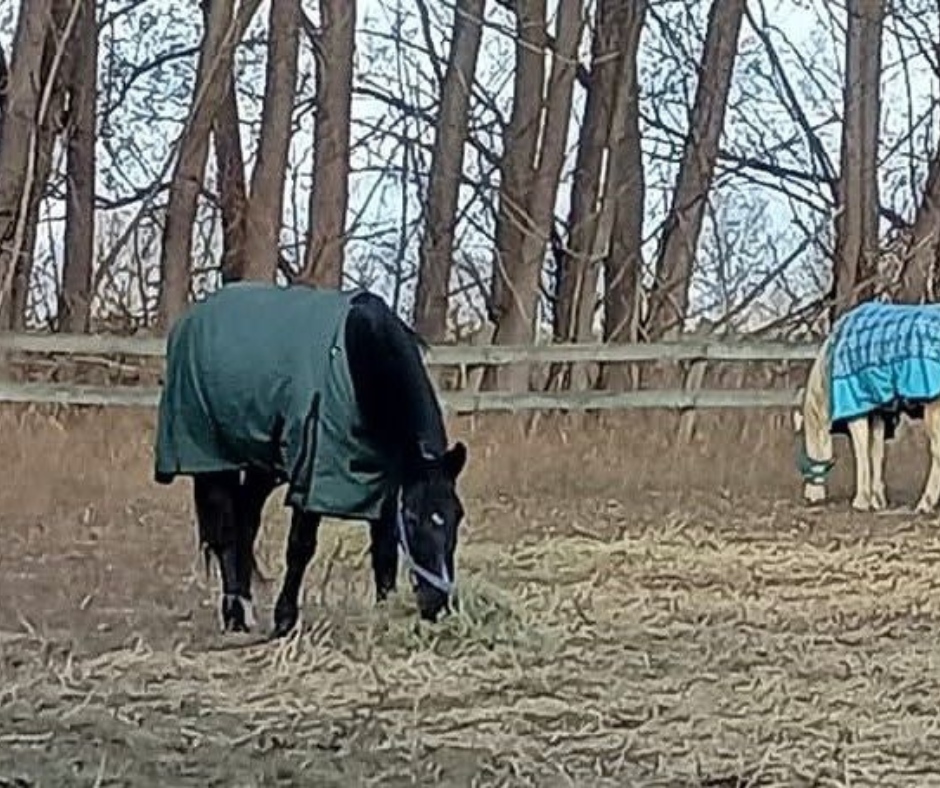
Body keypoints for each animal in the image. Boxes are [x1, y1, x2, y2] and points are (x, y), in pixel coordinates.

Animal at [154, 281, 468, 637]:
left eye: (457, 515)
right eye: (414, 518)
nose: (437, 605)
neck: (357, 360)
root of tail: (192, 318)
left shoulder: (386, 489)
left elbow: (384, 552)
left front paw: (384, 615)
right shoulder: (312, 476)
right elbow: (300, 547)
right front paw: (285, 620)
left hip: (261, 464)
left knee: (246, 523)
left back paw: (244, 605)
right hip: (214, 459)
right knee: (226, 532)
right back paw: (235, 614)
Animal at [796, 299, 940, 512]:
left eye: (810, 446)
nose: (810, 498)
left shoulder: (857, 410)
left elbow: (861, 450)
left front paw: (861, 501)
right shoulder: (877, 411)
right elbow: (876, 451)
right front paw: (877, 499)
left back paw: (925, 503)